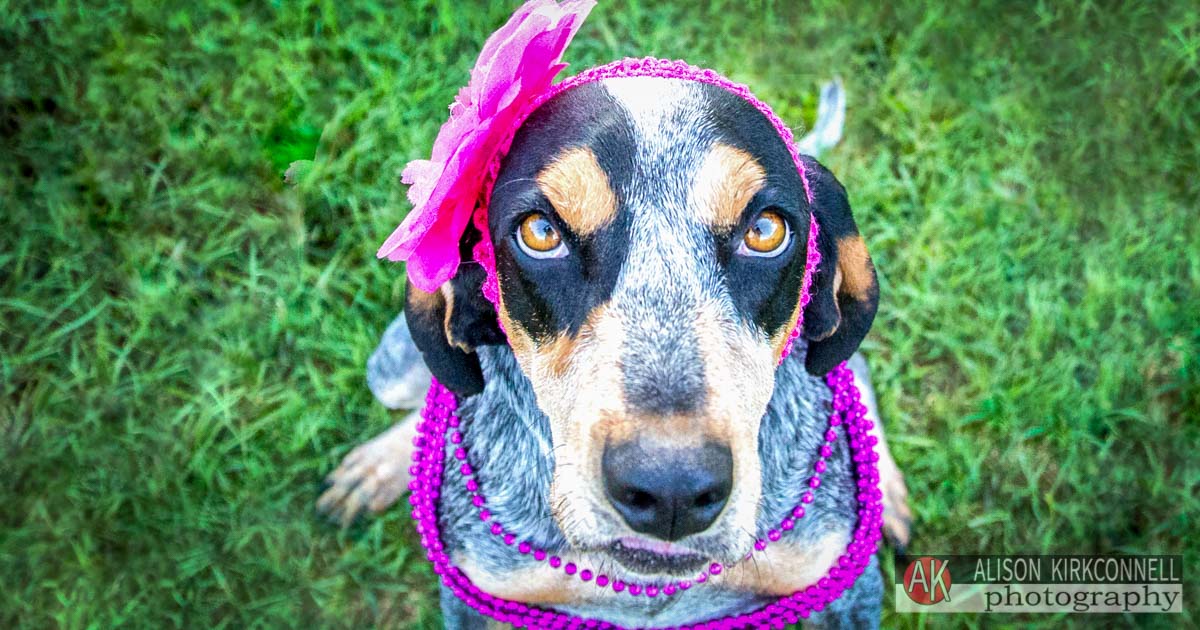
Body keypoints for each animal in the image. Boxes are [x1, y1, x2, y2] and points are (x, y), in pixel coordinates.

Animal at [319, 76, 907, 624]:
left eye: (765, 230)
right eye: (540, 232)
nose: (672, 491)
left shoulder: (845, 589)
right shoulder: (477, 599)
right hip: (390, 370)